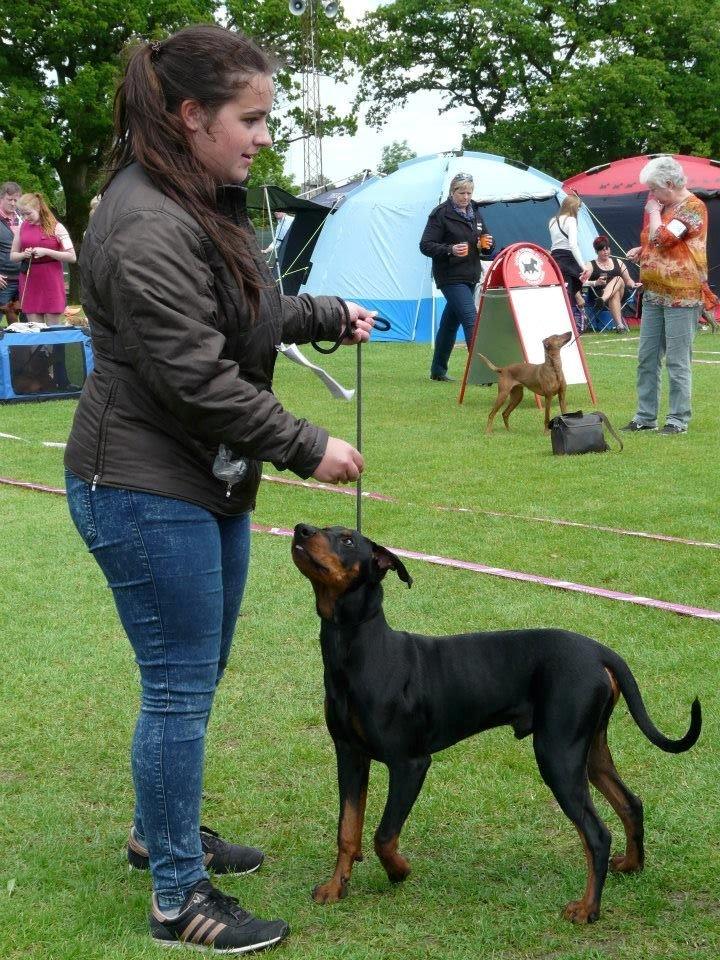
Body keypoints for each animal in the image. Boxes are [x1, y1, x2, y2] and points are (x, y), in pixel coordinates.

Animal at [290, 524, 700, 924]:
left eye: (347, 539)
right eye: (324, 527)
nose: (300, 529)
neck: (357, 649)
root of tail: (600, 652)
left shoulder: (410, 764)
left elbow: (383, 834)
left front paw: (399, 871)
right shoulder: (350, 756)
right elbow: (347, 830)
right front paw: (335, 888)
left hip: (557, 755)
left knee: (597, 835)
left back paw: (587, 909)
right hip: (588, 751)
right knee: (631, 804)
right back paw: (631, 865)